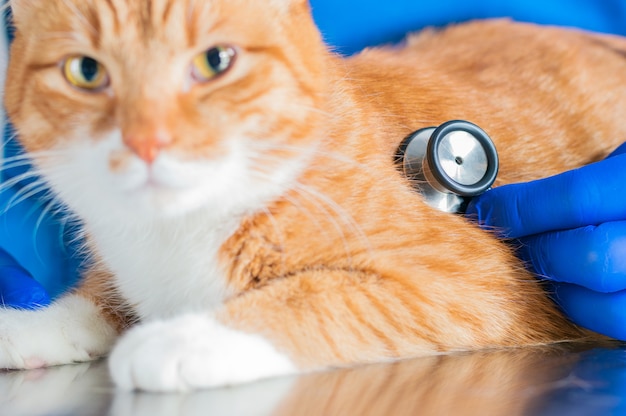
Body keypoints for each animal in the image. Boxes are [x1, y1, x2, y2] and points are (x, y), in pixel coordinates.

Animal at [1, 0, 624, 392]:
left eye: (215, 61)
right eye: (85, 71)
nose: (147, 140)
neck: (171, 233)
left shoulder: (470, 280)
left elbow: (307, 299)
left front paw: (185, 339)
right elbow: (93, 298)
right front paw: (35, 323)